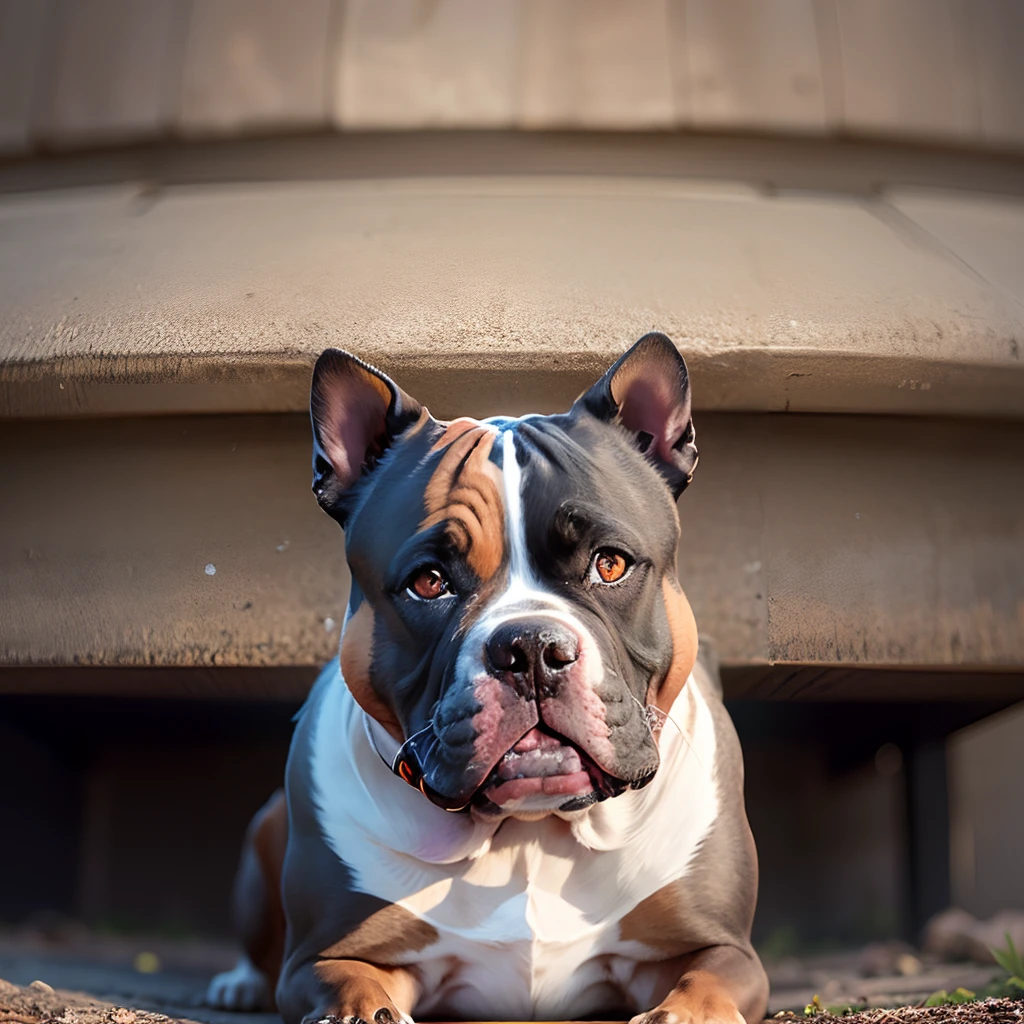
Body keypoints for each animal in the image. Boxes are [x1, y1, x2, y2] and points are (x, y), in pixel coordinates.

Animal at [205, 331, 770, 1019]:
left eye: (610, 565)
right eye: (429, 582)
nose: (530, 647)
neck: (527, 833)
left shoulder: (724, 950)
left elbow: (705, 985)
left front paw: (682, 1011)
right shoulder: (325, 954)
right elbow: (349, 980)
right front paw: (361, 1010)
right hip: (263, 837)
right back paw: (238, 983)